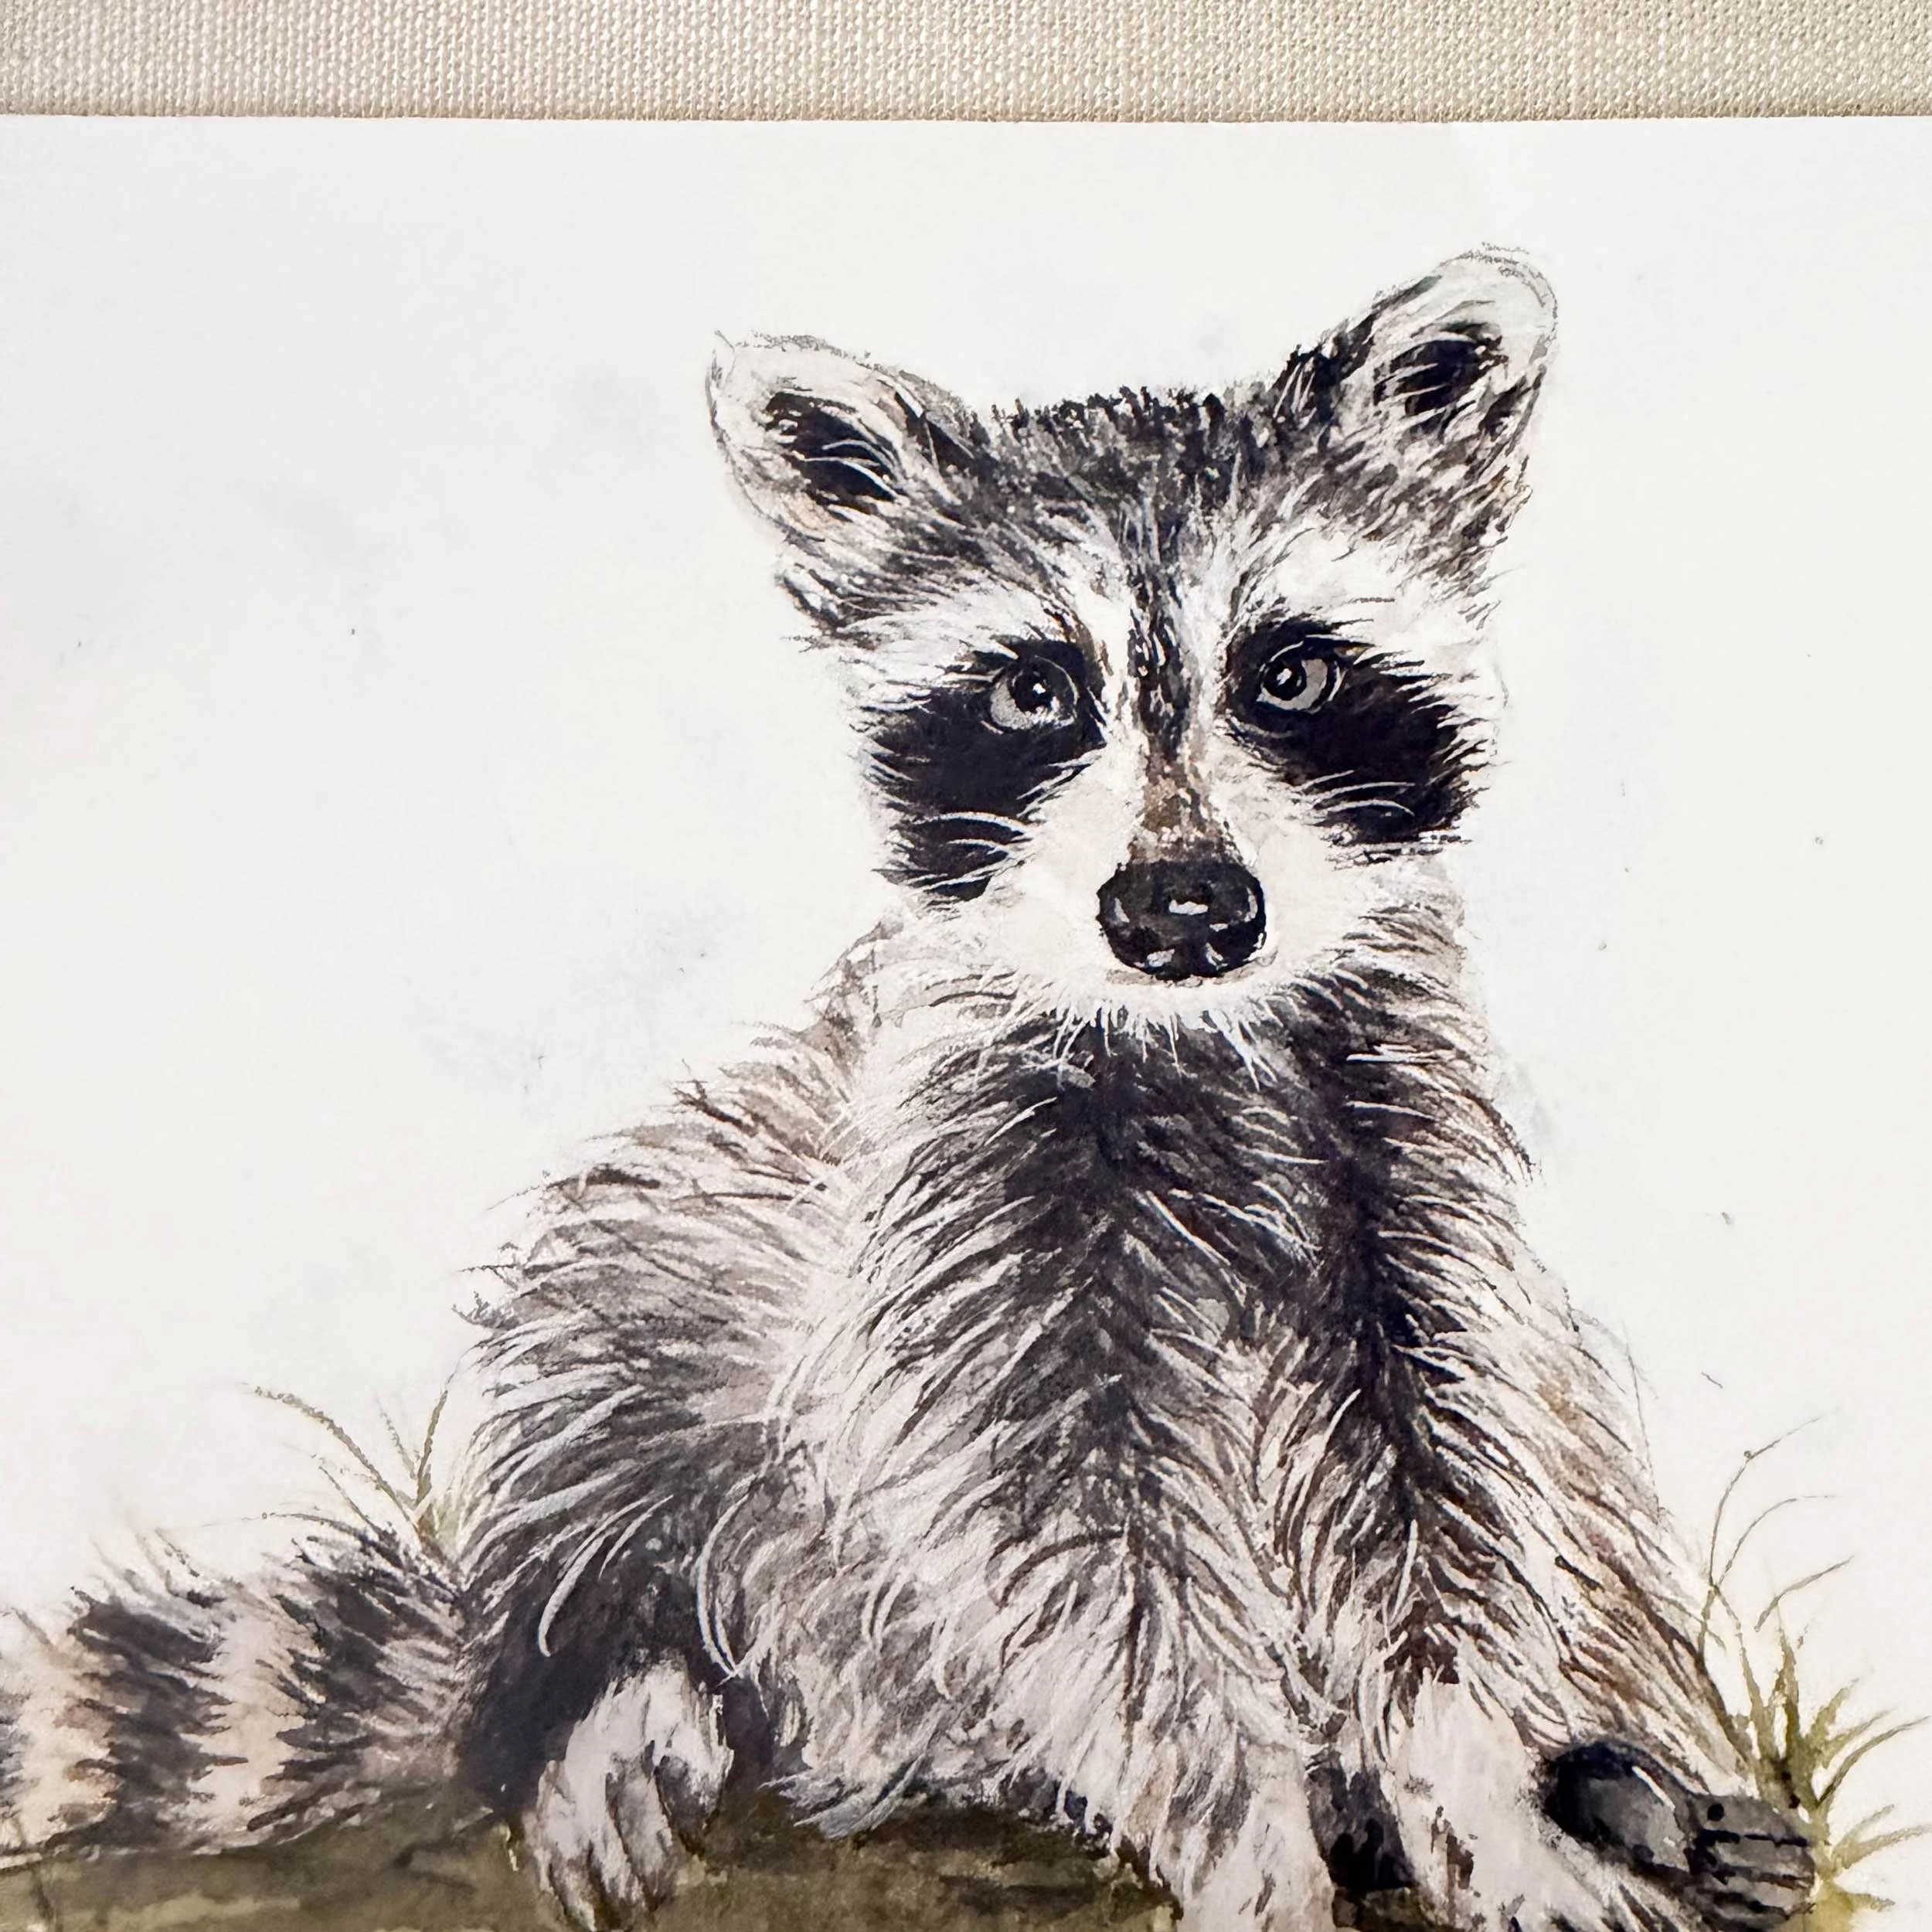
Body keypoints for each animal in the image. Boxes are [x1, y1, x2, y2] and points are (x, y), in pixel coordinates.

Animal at [0, 252, 1815, 1932]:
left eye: (1289, 675)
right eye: (1032, 690)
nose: (1185, 906)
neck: (1198, 1034)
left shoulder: (1402, 1169)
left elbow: (1449, 1489)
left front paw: (1487, 1790)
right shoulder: (961, 1209)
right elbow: (1085, 1556)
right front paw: (1244, 1828)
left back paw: (1633, 1786)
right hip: (698, 1270)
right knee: (607, 1358)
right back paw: (609, 1677)